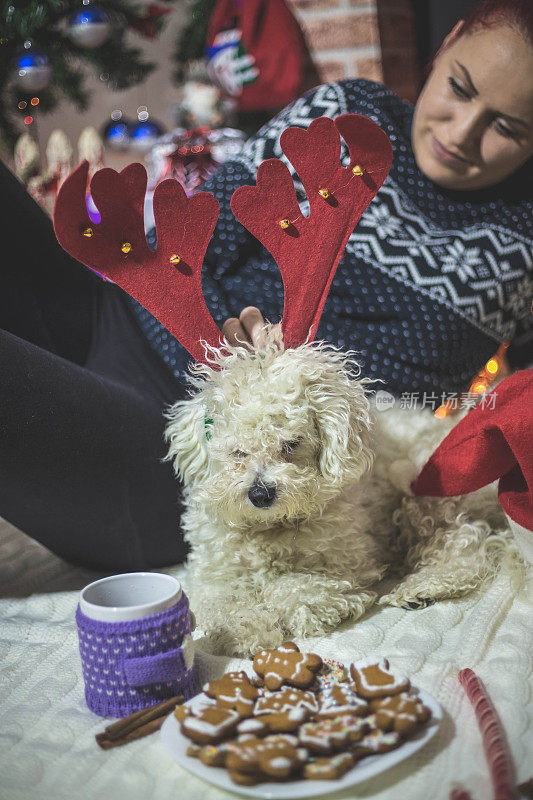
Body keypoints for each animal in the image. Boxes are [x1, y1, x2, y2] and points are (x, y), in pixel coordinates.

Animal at [166, 324, 516, 656]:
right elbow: (222, 601)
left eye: (291, 444)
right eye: (237, 451)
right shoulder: (213, 573)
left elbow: (289, 587)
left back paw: (422, 587)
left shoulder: (346, 567)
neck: (271, 528)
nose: (260, 494)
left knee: (467, 543)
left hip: (424, 492)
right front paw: (242, 630)